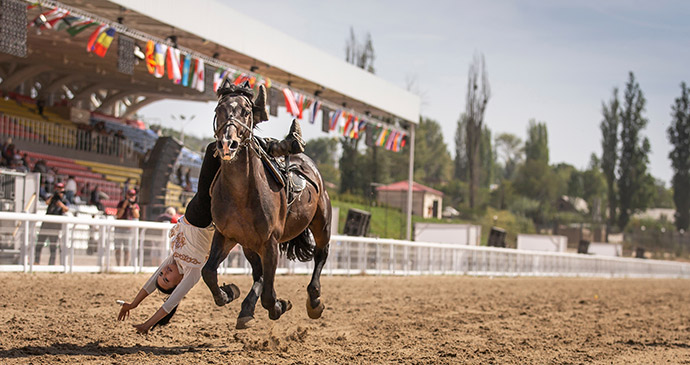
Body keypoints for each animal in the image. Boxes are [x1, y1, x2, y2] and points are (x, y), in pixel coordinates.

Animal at [200, 82, 332, 328]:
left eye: (246, 111)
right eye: (218, 109)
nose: (227, 144)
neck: (241, 194)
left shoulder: (270, 244)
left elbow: (270, 296)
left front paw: (280, 305)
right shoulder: (226, 235)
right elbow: (208, 272)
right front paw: (227, 292)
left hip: (322, 223)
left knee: (321, 254)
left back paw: (314, 301)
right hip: (249, 245)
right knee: (258, 274)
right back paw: (246, 309)